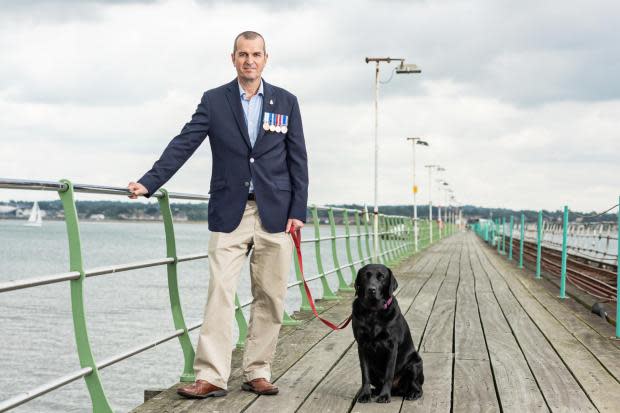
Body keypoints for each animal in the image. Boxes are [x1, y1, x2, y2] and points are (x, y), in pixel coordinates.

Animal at [352, 264, 424, 402]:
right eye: (365, 276)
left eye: (382, 277)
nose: (371, 290)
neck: (373, 312)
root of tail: (397, 390)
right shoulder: (361, 346)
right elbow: (365, 375)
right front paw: (365, 394)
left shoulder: (391, 346)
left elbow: (388, 374)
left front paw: (385, 395)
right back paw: (375, 392)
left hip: (414, 364)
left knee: (417, 386)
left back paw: (412, 393)